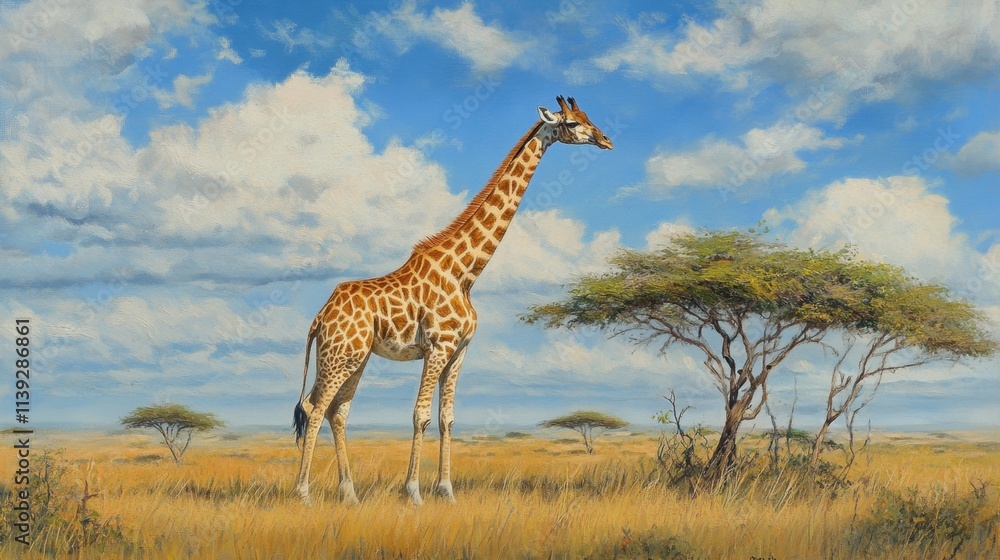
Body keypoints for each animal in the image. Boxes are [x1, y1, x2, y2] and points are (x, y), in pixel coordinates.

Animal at [292, 96, 613, 505]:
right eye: (571, 123)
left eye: (587, 117)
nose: (606, 140)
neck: (465, 273)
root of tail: (318, 317)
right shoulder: (438, 347)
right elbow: (420, 415)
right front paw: (414, 492)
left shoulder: (460, 350)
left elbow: (447, 418)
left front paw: (446, 490)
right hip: (339, 355)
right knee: (315, 408)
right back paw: (303, 492)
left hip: (353, 356)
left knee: (337, 411)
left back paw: (350, 494)